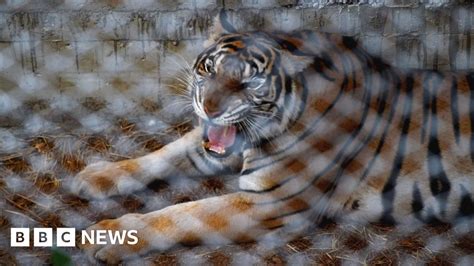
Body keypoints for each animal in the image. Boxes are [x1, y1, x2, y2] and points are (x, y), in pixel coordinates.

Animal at [72, 10, 472, 264]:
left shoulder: (271, 201)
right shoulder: (211, 149)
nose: (209, 109)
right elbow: (162, 154)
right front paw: (97, 175)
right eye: (209, 68)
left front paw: (112, 235)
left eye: (249, 83)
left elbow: (184, 214)